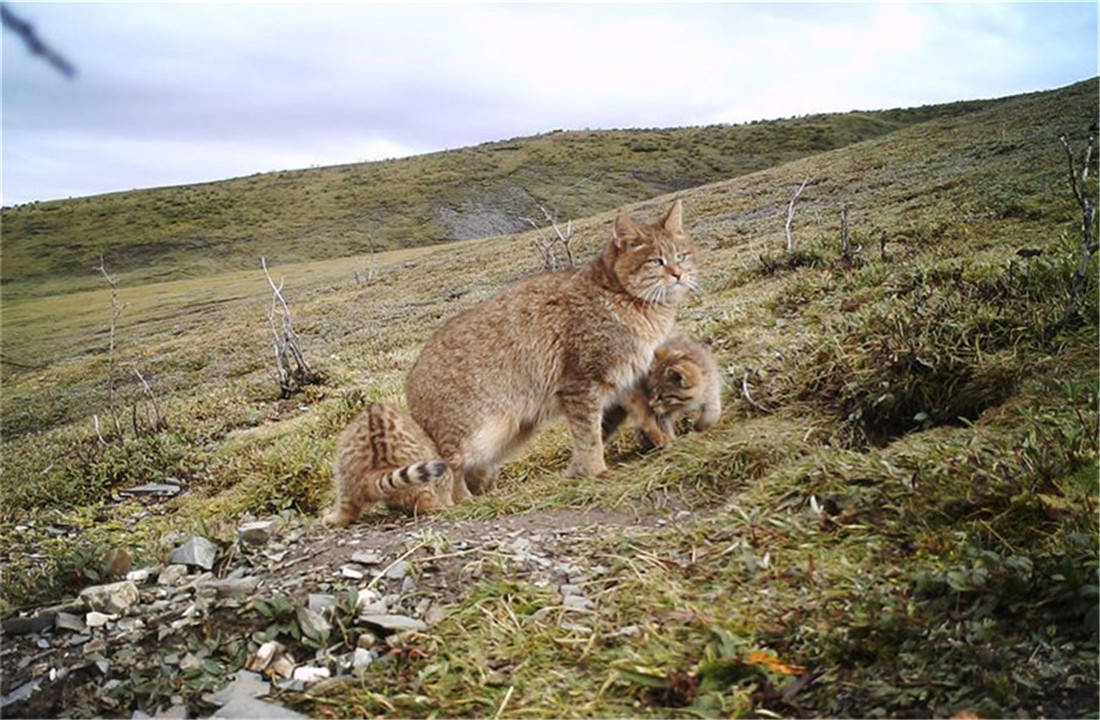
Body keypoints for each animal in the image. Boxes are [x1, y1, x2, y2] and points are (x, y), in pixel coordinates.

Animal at [321, 402, 451, 527]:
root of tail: (380, 466)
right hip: (424, 470)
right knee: (427, 495)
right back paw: (438, 506)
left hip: (345, 469)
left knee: (348, 504)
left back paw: (339, 517)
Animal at [404, 196, 695, 503]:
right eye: (656, 261)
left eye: (681, 256)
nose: (679, 274)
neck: (623, 296)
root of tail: (410, 382)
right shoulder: (580, 383)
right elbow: (589, 437)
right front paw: (596, 472)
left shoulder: (622, 378)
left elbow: (644, 415)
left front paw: (666, 443)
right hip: (477, 435)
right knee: (448, 468)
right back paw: (462, 502)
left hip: (510, 433)